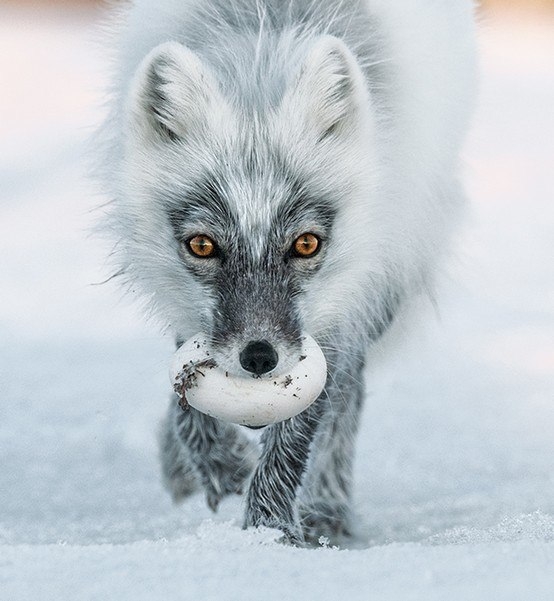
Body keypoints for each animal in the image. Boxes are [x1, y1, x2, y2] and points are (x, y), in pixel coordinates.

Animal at [95, 0, 474, 544]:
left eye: (306, 243)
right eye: (203, 245)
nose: (258, 357)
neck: (260, 55)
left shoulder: (337, 313)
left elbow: (300, 433)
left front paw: (269, 535)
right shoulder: (185, 305)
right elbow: (187, 395)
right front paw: (218, 465)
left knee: (347, 398)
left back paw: (326, 510)